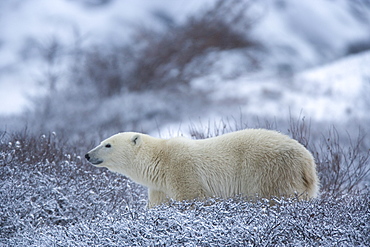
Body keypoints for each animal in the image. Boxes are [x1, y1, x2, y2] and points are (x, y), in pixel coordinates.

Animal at [85, 128, 320, 207]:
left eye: (107, 144)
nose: (87, 155)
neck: (159, 159)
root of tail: (307, 161)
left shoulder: (182, 170)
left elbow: (192, 199)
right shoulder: (159, 186)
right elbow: (157, 205)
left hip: (271, 172)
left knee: (274, 197)